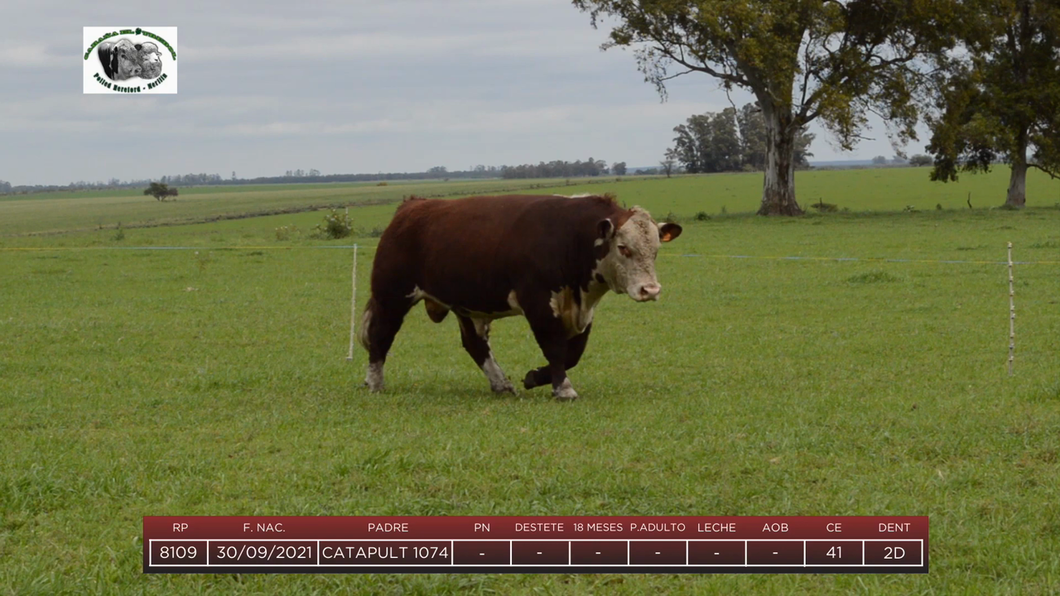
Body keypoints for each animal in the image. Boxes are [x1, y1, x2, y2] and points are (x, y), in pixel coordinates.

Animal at [360, 194, 682, 398]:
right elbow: (555, 347)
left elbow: (573, 353)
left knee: (475, 345)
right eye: (623, 248)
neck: (571, 237)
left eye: (655, 250)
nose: (650, 290)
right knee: (380, 335)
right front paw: (563, 389)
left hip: (467, 307)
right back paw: (374, 382)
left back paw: (501, 385)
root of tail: (412, 205)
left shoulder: (583, 311)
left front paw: (535, 377)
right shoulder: (538, 304)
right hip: (392, 296)